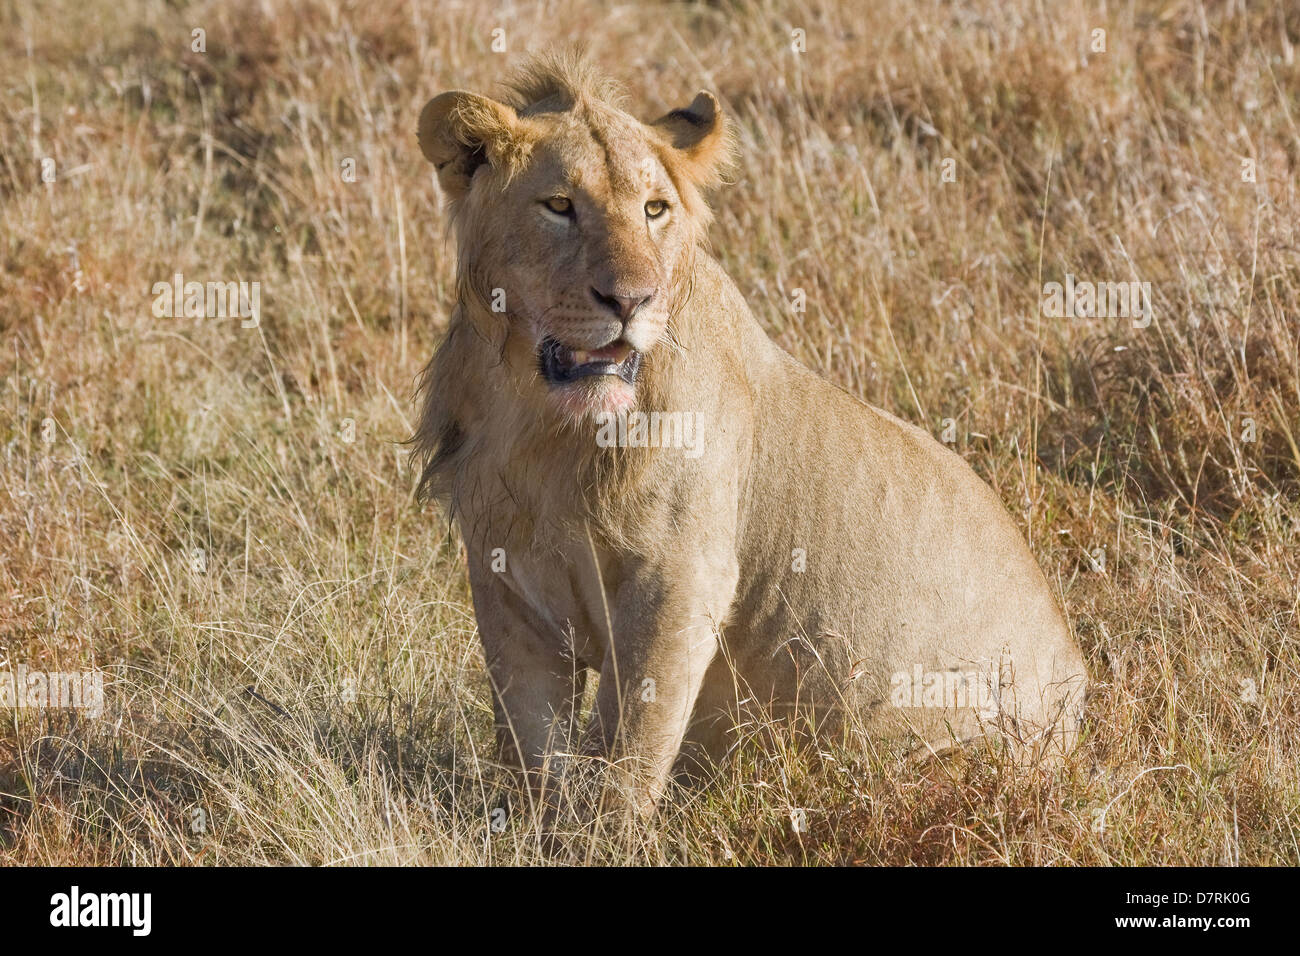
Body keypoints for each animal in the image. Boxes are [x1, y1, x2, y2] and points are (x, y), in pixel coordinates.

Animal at [412, 52, 1087, 820]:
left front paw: (604, 832)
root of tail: (1078, 689)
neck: (542, 424)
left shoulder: (681, 574)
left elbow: (631, 735)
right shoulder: (504, 578)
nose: (632, 301)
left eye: (655, 209)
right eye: (559, 206)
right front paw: (538, 826)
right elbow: (532, 739)